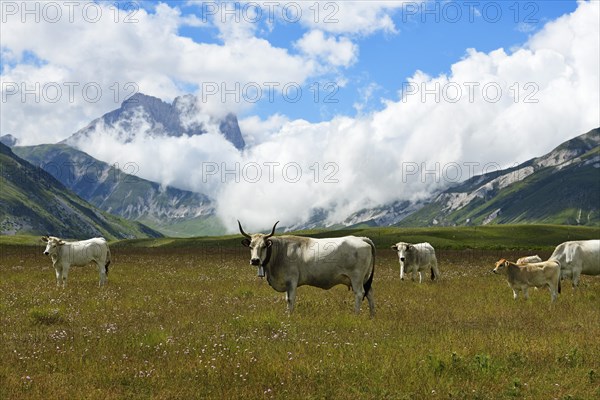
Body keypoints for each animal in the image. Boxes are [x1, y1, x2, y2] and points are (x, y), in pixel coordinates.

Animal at [238, 220, 376, 318]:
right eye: (250, 246)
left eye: (264, 246)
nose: (255, 260)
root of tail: (361, 238)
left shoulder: (291, 281)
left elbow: (290, 299)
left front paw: (289, 317)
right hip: (365, 278)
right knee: (369, 293)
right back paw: (372, 316)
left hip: (356, 278)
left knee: (360, 293)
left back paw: (356, 315)